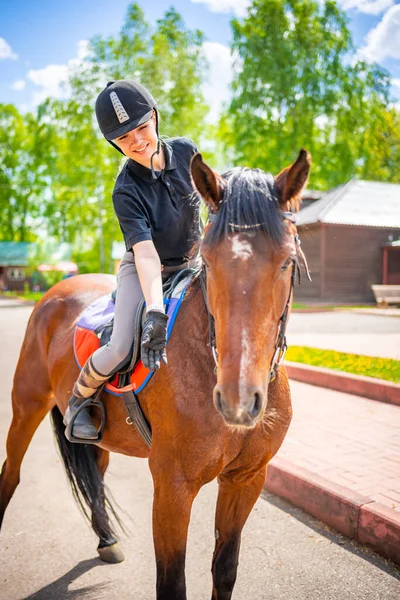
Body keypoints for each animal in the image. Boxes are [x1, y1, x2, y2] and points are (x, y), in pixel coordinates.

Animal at [0, 150, 310, 600]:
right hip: (26, 407)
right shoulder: (171, 487)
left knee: (95, 475)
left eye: (287, 261)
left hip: (99, 436)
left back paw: (107, 540)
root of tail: (55, 291)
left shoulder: (246, 479)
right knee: (11, 473)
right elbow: (172, 583)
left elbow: (225, 569)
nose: (238, 400)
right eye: (208, 261)